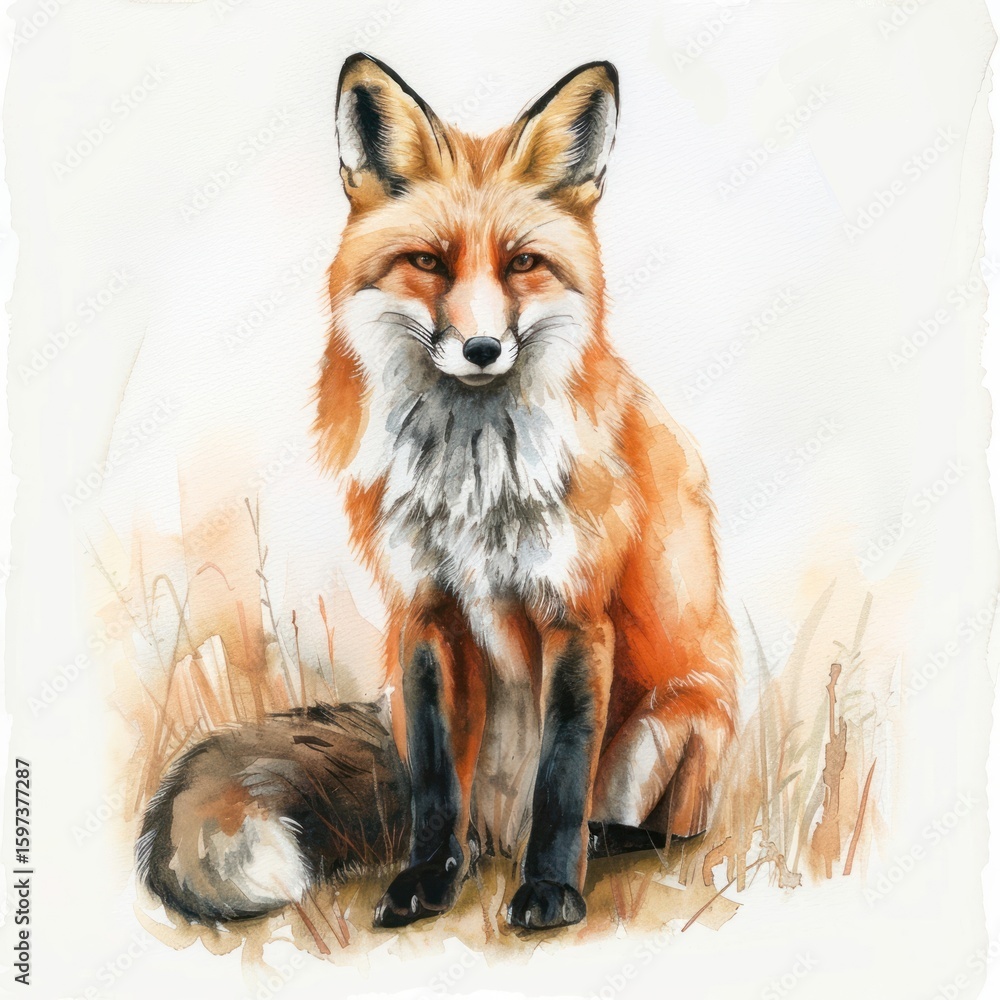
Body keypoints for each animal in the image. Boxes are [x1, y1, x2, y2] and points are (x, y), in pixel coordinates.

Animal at [137, 54, 739, 932]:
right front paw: (426, 879)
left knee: (649, 825)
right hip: (405, 704)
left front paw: (550, 889)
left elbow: (562, 781)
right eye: (429, 261)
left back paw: (599, 842)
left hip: (677, 722)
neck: (475, 480)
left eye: (523, 263)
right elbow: (431, 786)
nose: (482, 348)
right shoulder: (423, 612)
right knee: (467, 817)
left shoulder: (576, 616)